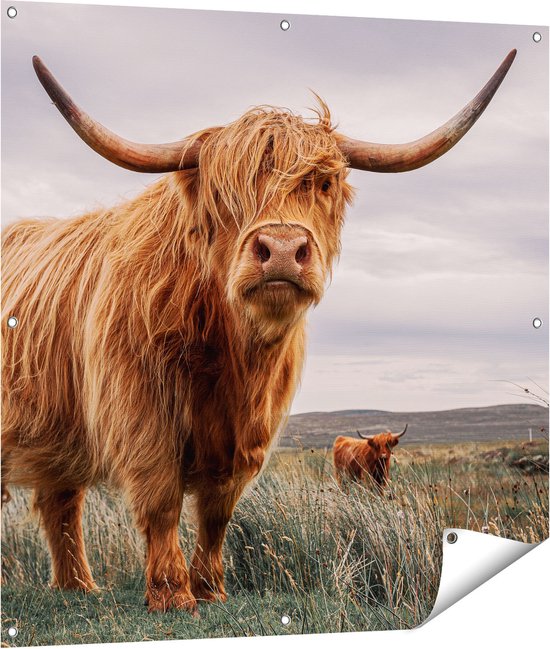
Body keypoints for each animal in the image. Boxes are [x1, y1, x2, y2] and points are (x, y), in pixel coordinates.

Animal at [1, 51, 515, 613]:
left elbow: (217, 511)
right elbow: (161, 499)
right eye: (224, 192)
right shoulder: (140, 411)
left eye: (323, 183)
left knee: (59, 500)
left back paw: (77, 585)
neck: (229, 351)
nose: (284, 249)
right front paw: (173, 593)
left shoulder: (249, 430)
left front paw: (211, 589)